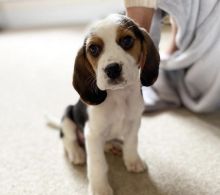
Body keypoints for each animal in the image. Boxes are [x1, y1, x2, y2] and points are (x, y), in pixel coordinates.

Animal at [61, 14, 159, 195]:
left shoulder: (134, 123)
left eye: (127, 40)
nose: (112, 69)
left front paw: (133, 161)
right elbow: (98, 164)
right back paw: (77, 153)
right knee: (68, 138)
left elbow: (131, 143)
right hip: (67, 115)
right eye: (93, 48)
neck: (119, 96)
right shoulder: (92, 134)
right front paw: (100, 188)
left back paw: (112, 146)